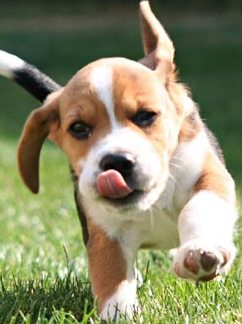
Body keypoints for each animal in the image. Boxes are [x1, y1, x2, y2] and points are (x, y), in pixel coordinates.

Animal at [0, 1, 238, 320]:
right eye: (78, 128)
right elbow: (111, 276)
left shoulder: (210, 177)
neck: (154, 199)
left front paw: (200, 252)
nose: (116, 162)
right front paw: (121, 314)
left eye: (146, 115)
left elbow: (198, 208)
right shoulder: (104, 232)